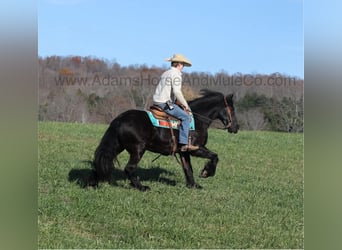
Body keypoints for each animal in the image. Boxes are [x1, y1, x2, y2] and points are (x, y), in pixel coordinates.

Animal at [92, 89, 239, 190]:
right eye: (232, 109)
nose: (236, 127)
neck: (197, 120)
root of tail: (120, 119)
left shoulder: (184, 152)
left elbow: (188, 169)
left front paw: (193, 185)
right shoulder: (196, 149)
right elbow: (215, 156)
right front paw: (206, 172)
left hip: (118, 146)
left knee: (104, 160)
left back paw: (95, 182)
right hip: (138, 150)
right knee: (129, 168)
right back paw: (142, 187)